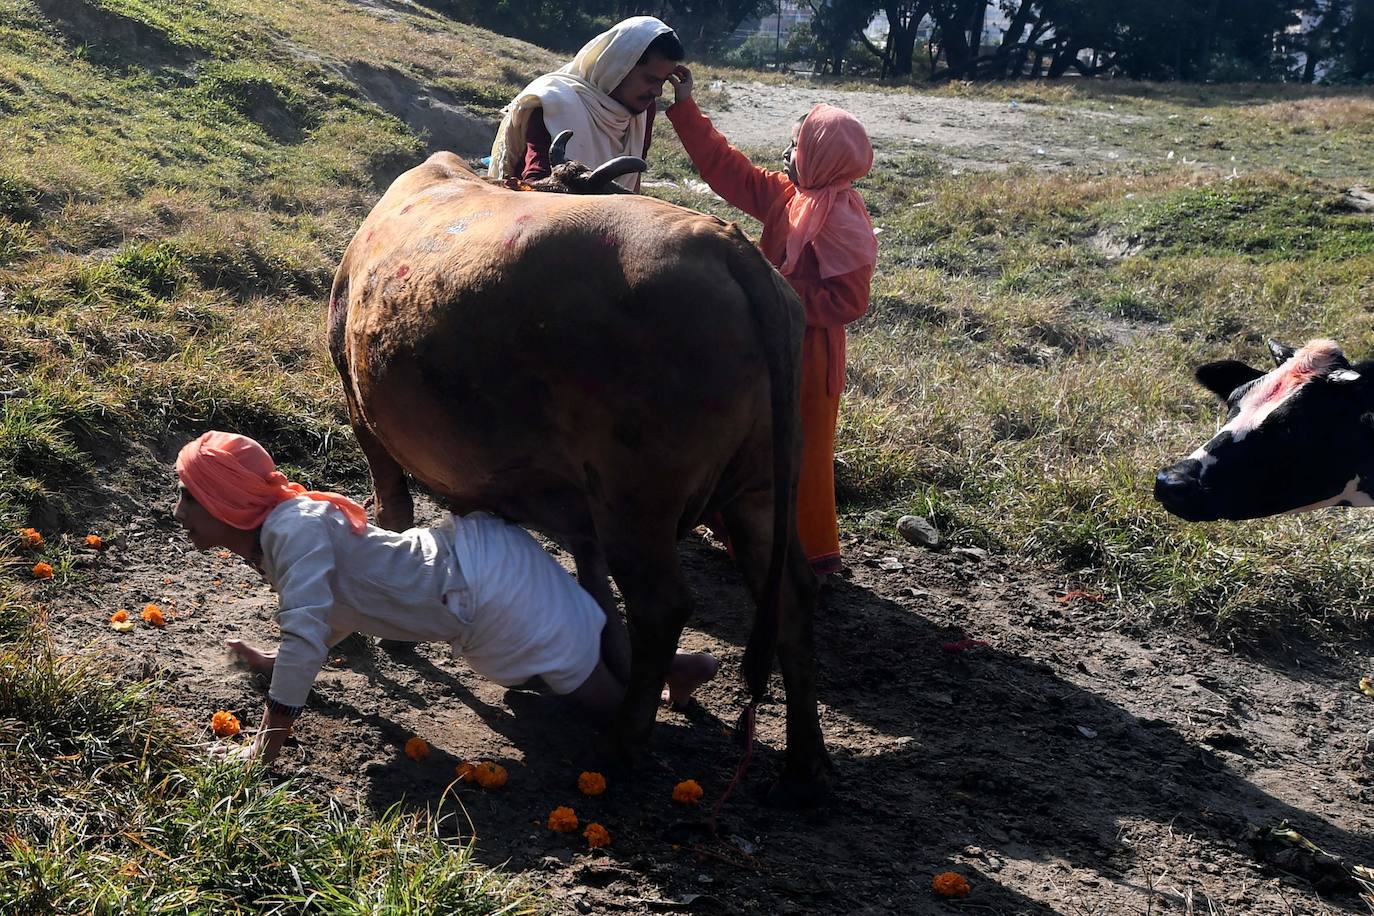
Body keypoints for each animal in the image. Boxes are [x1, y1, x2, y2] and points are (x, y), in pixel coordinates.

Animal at [327, 150, 829, 802]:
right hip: (758, 493)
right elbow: (592, 585)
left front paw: (397, 636)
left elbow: (394, 511)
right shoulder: (578, 507)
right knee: (794, 598)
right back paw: (804, 762)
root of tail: (724, 241)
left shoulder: (364, 417)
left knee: (662, 606)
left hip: (636, 502)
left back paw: (621, 745)